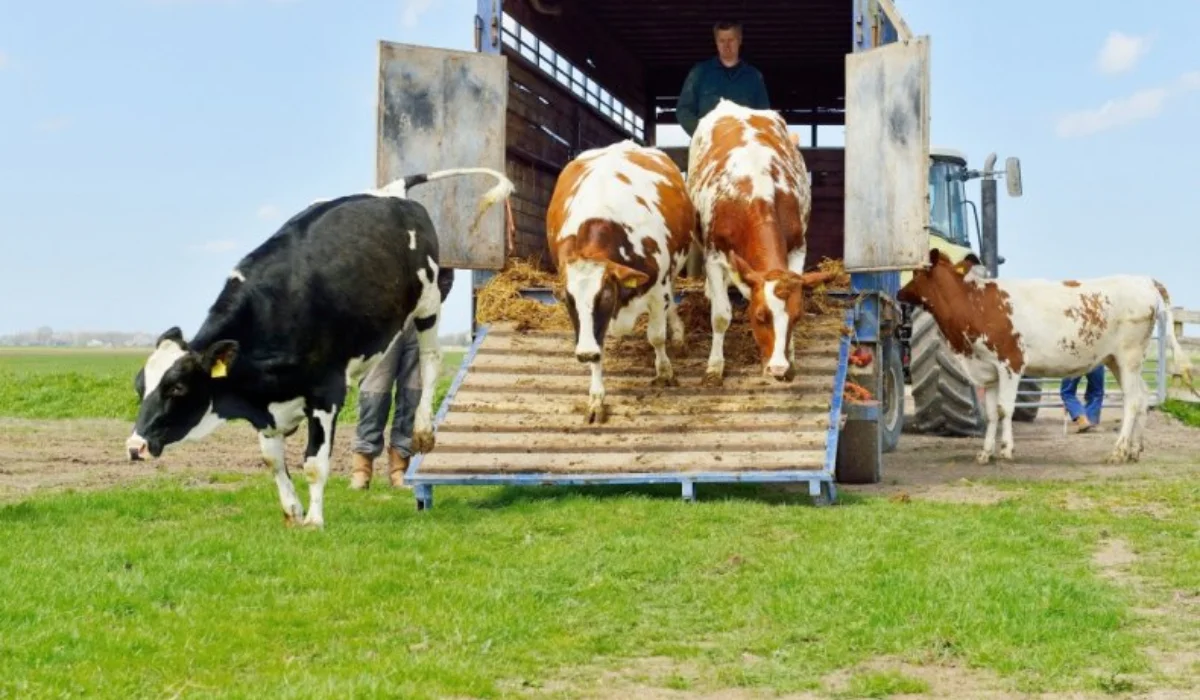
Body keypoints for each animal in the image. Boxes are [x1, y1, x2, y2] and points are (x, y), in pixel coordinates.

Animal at [126, 166, 516, 528]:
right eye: (140, 386)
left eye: (177, 387)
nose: (135, 446)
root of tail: (392, 192)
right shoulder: (266, 406)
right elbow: (273, 460)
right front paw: (292, 512)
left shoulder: (326, 393)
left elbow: (314, 463)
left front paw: (314, 521)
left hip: (428, 302)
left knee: (430, 360)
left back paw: (423, 430)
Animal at [544, 136, 696, 422]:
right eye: (568, 300)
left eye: (605, 296)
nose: (584, 353)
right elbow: (598, 350)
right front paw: (596, 399)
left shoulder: (657, 291)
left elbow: (656, 336)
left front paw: (664, 371)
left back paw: (678, 333)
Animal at [691, 97, 820, 389]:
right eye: (761, 316)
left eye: (797, 317)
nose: (779, 368)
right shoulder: (714, 255)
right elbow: (721, 315)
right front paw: (714, 366)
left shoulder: (798, 249)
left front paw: (791, 357)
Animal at [897, 250, 1195, 465]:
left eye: (917, 272)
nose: (899, 293)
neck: (974, 304)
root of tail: (1144, 280)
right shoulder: (988, 370)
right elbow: (992, 413)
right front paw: (985, 453)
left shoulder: (1011, 363)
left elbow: (1005, 409)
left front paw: (1006, 450)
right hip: (1117, 361)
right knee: (1143, 397)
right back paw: (1134, 449)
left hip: (1128, 356)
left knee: (1132, 401)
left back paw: (1119, 451)